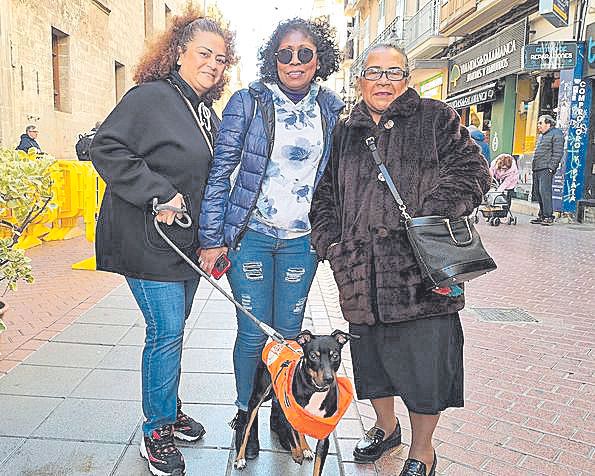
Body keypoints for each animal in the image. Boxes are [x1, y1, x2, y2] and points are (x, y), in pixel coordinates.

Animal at [233, 330, 354, 476]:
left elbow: (317, 466)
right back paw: (240, 458)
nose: (329, 379)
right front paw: (297, 454)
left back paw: (306, 448)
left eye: (335, 356)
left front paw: (303, 450)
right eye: (313, 356)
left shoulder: (324, 435)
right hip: (257, 396)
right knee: (247, 428)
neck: (315, 390)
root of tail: (275, 342)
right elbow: (293, 438)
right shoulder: (285, 413)